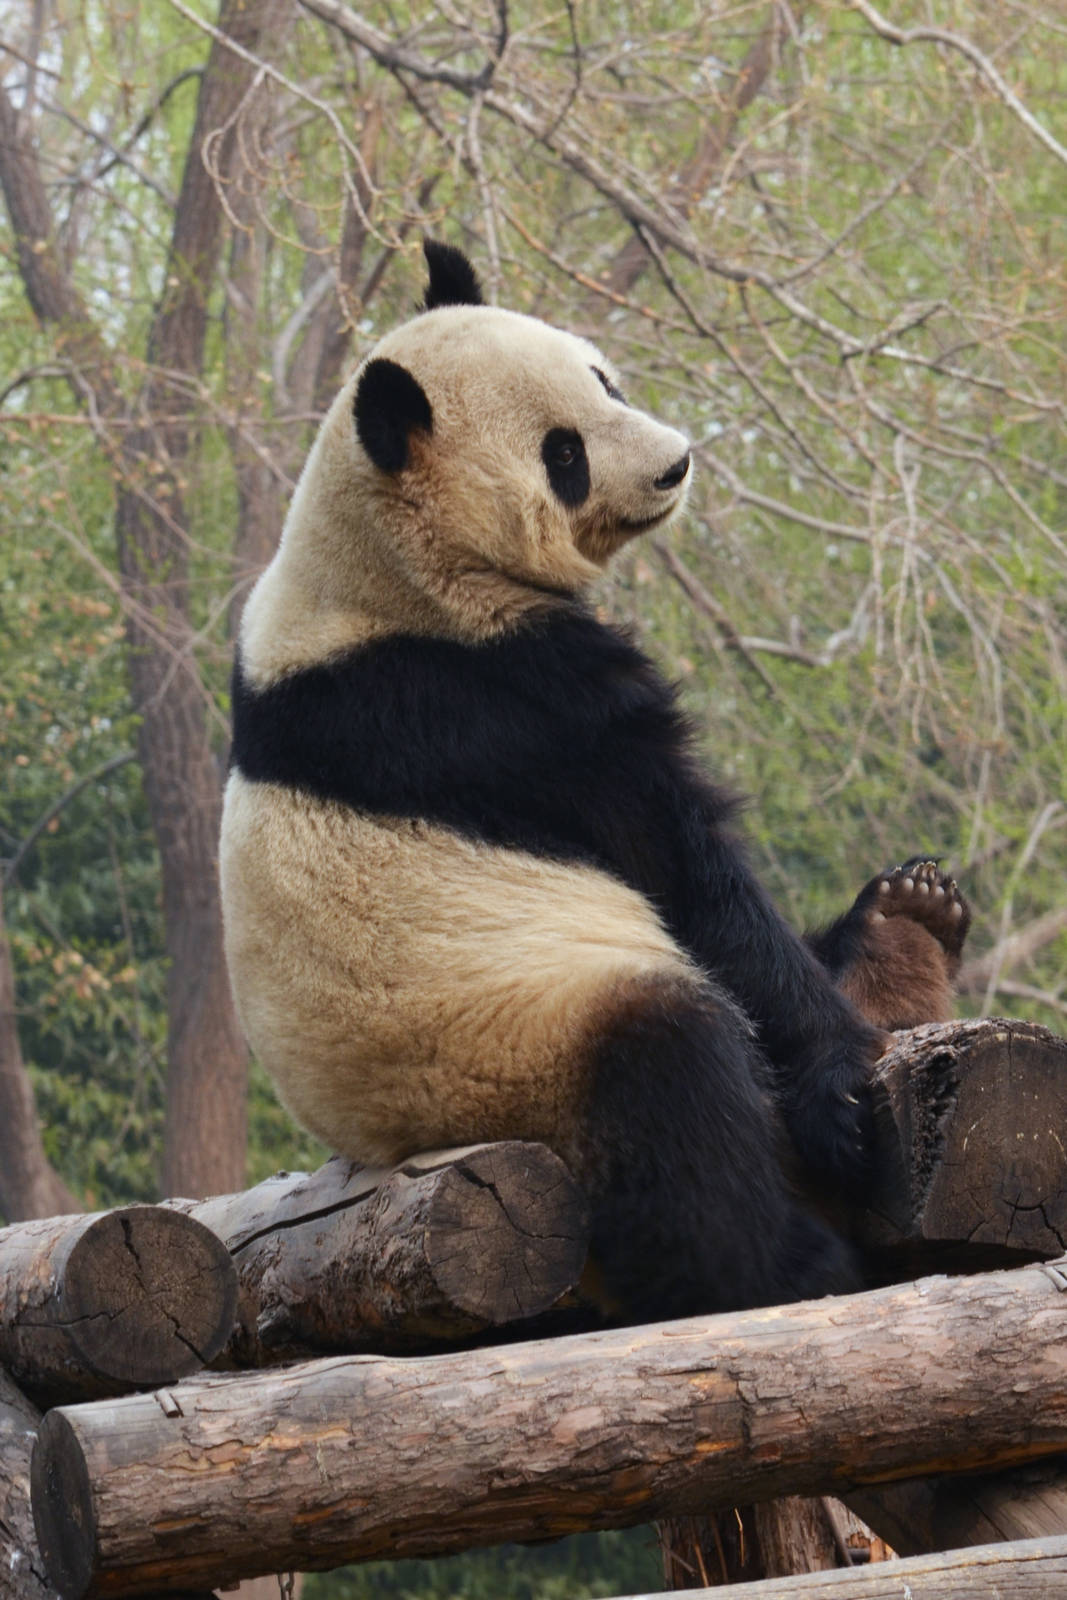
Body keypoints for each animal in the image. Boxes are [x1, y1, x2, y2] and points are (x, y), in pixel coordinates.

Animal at [221, 241, 970, 1323]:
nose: (674, 462)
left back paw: (906, 927)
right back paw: (792, 1267)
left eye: (603, 379)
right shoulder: (503, 703)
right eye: (562, 453)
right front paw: (842, 1088)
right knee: (671, 1083)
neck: (379, 570)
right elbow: (686, 870)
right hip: (515, 1048)